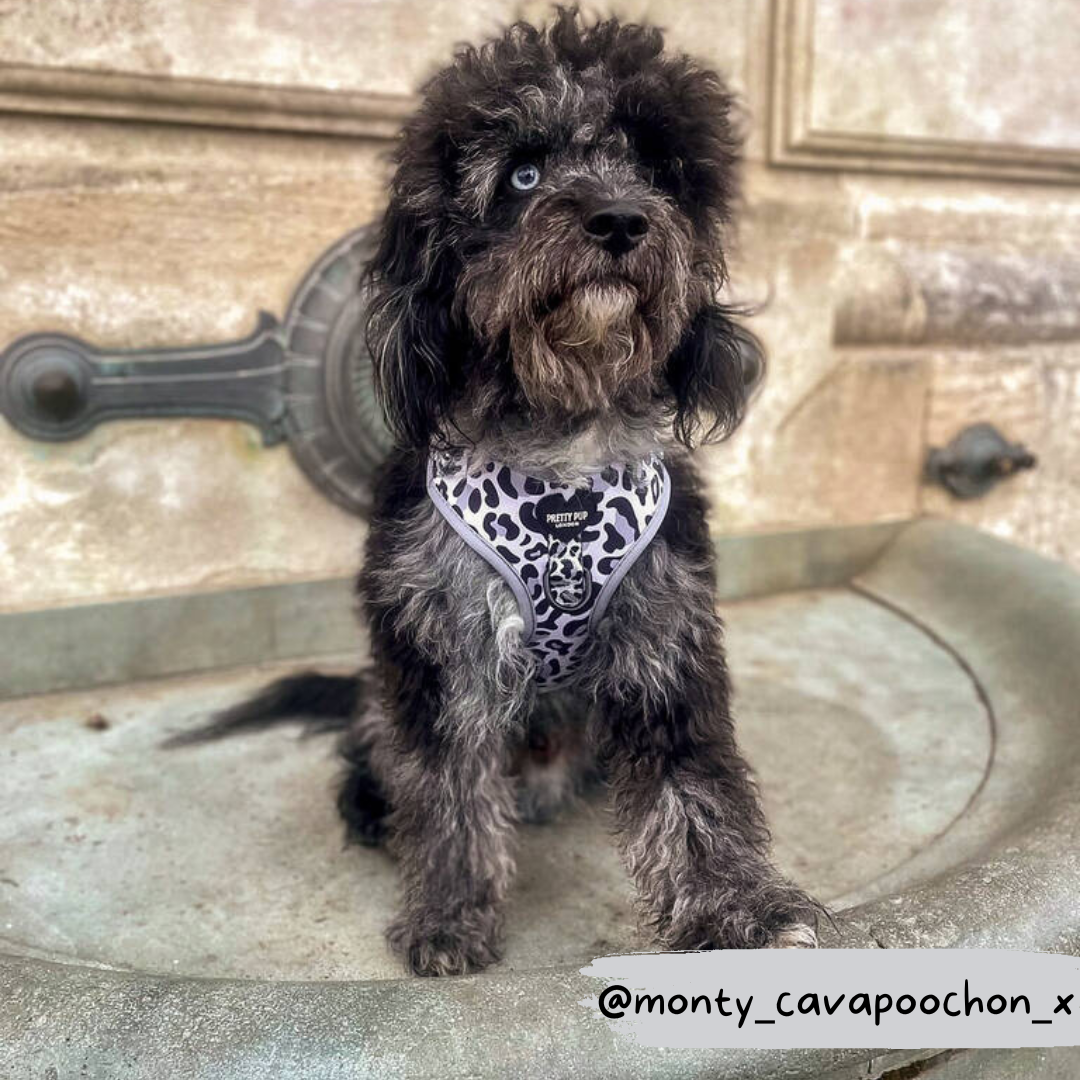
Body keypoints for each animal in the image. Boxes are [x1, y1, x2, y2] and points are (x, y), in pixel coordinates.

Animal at [172, 4, 820, 976]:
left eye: (655, 169)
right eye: (523, 172)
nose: (621, 219)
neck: (561, 451)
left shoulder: (666, 636)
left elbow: (694, 784)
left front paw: (738, 909)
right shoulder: (440, 642)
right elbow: (446, 792)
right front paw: (449, 914)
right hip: (387, 690)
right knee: (383, 758)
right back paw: (374, 810)